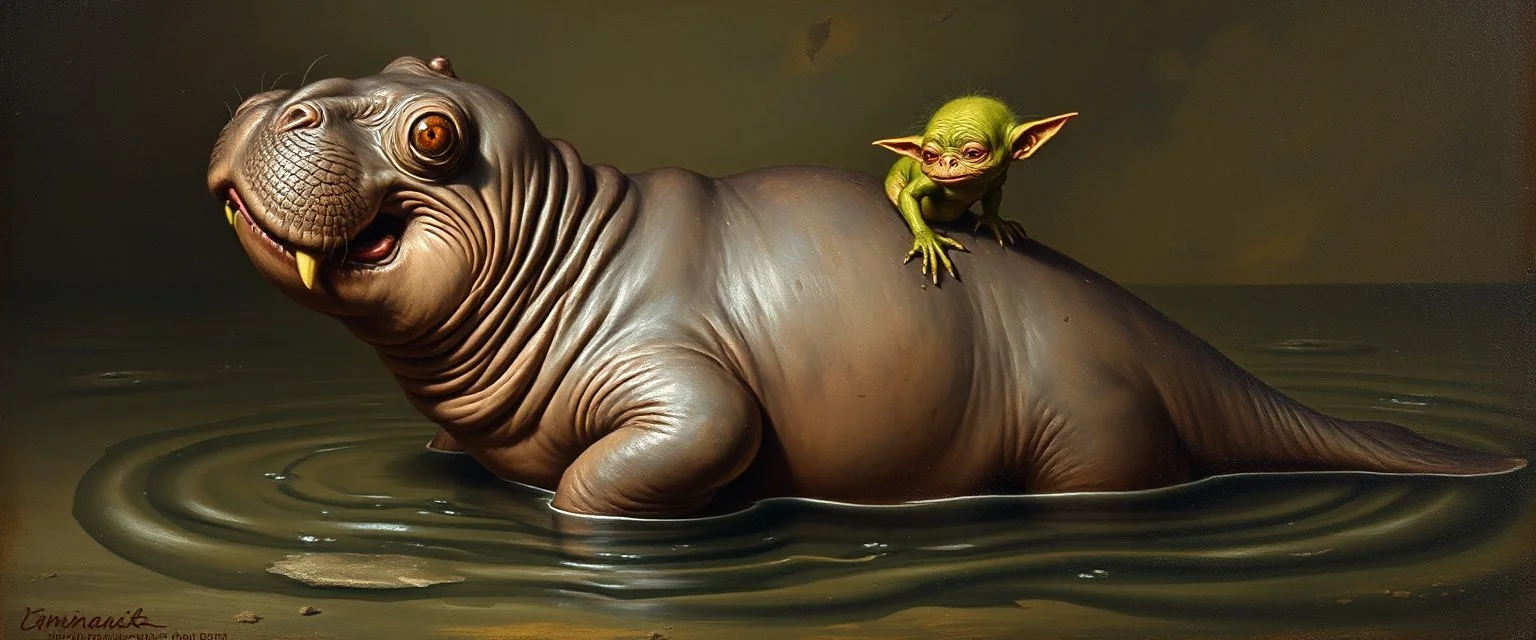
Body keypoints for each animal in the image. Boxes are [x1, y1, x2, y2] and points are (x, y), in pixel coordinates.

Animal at [205, 56, 1525, 518]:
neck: (559, 242)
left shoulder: (687, 386)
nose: (279, 99)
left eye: (431, 131)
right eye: (408, 52)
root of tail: (1148, 325)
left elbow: (646, 457)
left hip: (1094, 431)